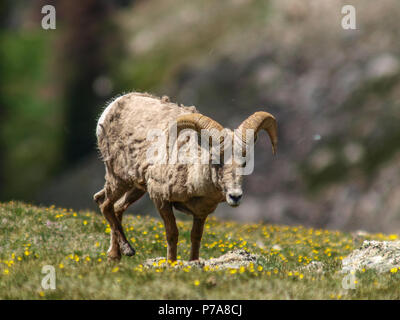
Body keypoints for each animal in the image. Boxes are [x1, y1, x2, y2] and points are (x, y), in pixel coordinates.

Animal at [94, 92, 276, 260]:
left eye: (244, 163)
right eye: (215, 160)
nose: (235, 196)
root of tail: (112, 106)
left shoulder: (201, 213)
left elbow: (196, 238)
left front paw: (193, 262)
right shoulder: (161, 201)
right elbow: (172, 234)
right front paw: (171, 263)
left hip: (136, 188)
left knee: (114, 207)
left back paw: (114, 255)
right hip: (119, 179)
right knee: (105, 205)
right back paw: (127, 250)